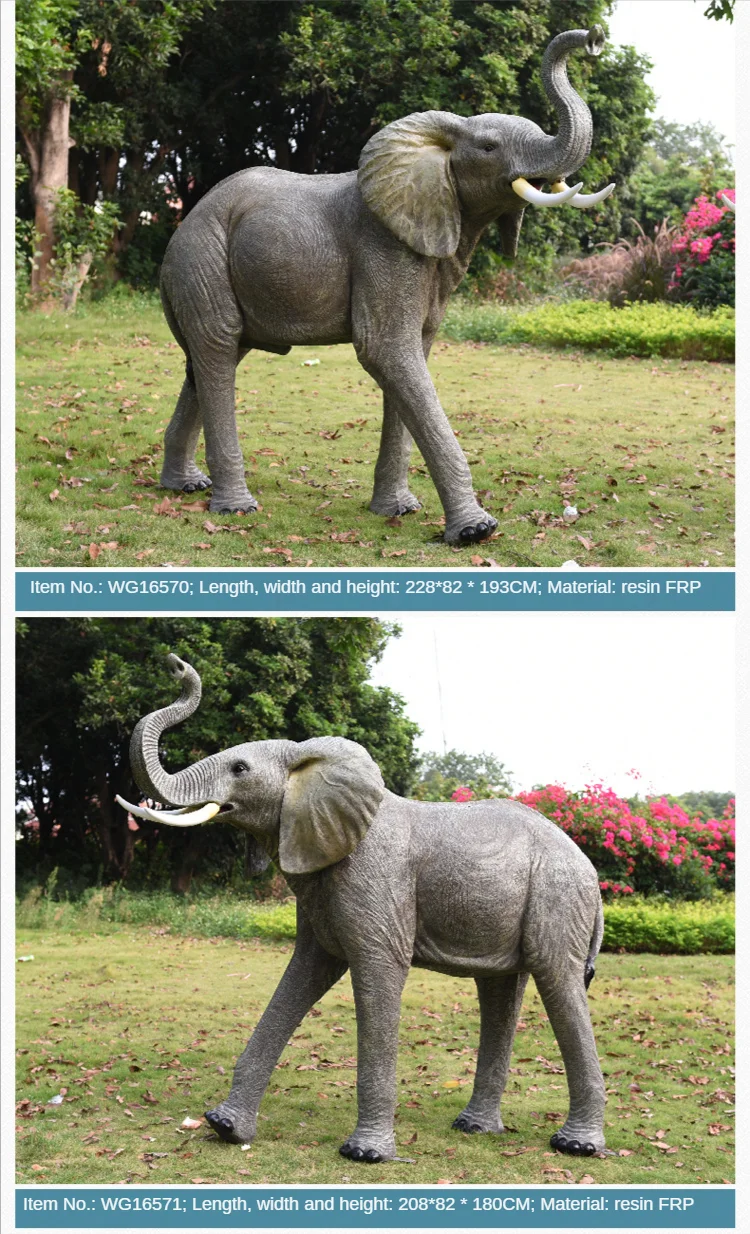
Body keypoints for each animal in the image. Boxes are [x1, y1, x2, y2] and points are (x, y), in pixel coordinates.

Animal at [117, 653, 607, 1163]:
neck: (306, 760)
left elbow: (378, 968)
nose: (176, 665)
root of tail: (588, 867)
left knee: (556, 977)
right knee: (499, 989)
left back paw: (576, 1145)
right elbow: (305, 972)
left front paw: (365, 1155)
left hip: (558, 896)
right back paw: (474, 1128)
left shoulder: (375, 877)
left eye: (239, 768)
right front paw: (225, 1127)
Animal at [158, 26, 615, 544]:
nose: (594, 37)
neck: (436, 146)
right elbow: (387, 350)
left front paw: (398, 512)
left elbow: (413, 355)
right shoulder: (382, 246)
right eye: (489, 148)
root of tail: (183, 224)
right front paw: (475, 531)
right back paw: (236, 508)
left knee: (209, 359)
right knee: (217, 348)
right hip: (200, 261)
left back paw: (184, 485)